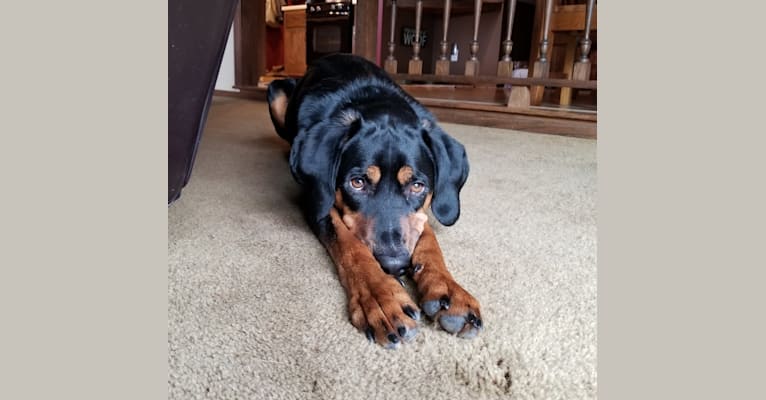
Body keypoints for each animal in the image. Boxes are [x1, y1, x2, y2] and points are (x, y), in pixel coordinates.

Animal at [268, 53, 484, 346]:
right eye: (357, 183)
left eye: (417, 186)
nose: (394, 265)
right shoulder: (316, 198)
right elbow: (348, 243)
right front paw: (382, 297)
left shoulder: (418, 214)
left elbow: (427, 236)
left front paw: (448, 289)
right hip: (276, 90)